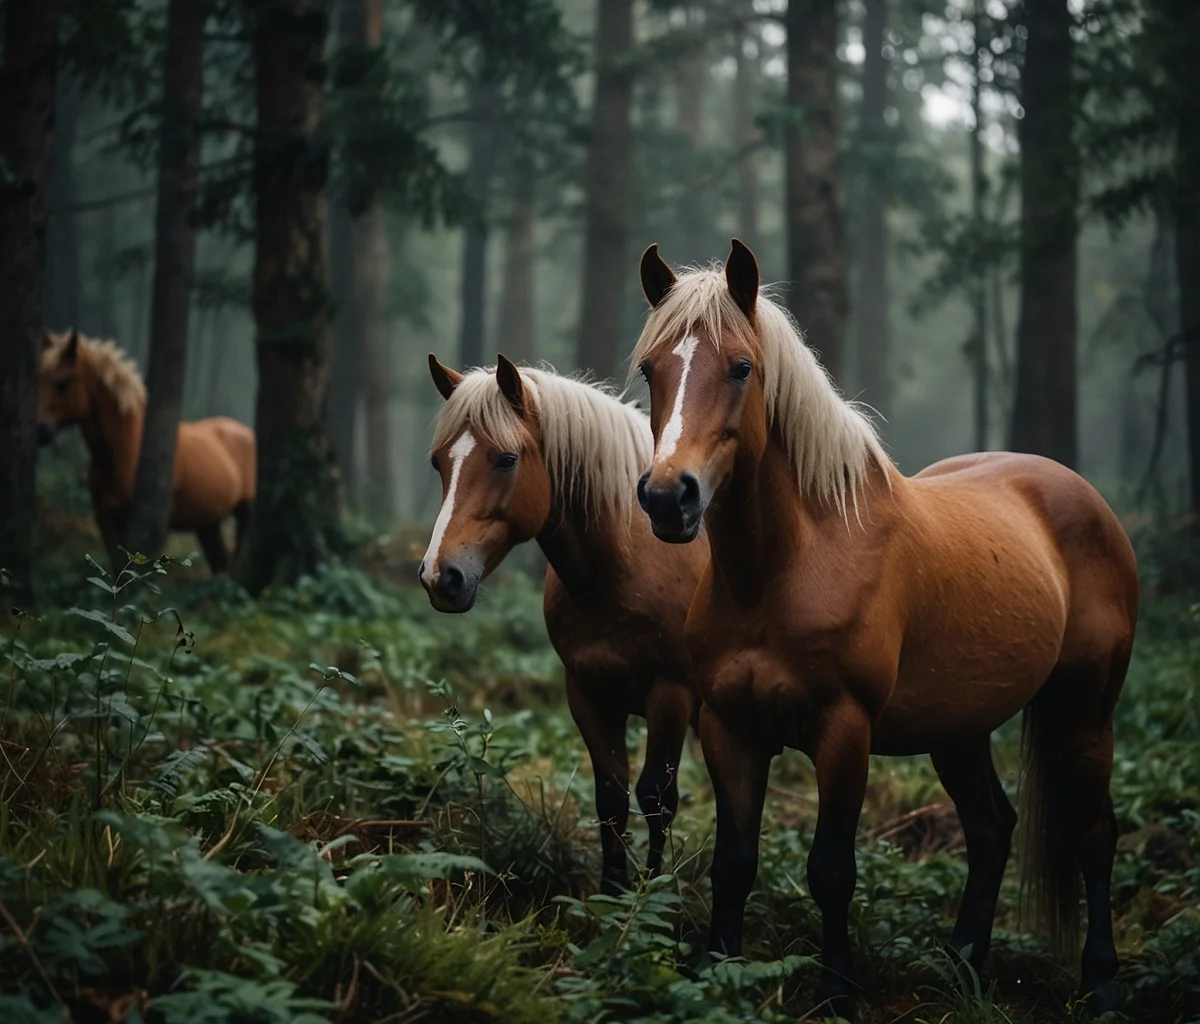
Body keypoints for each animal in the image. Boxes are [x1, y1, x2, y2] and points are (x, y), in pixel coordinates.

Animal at [36, 326, 255, 571]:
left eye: (63, 382)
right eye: (38, 377)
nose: (40, 430)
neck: (125, 449)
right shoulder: (104, 518)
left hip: (245, 515)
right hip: (209, 523)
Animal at [417, 352, 705, 893]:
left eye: (506, 459)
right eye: (439, 462)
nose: (439, 577)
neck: (629, 565)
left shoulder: (671, 697)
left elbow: (656, 798)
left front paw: (648, 894)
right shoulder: (588, 692)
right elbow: (611, 798)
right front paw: (611, 893)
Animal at [633, 240, 1137, 1013]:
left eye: (742, 367)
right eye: (651, 369)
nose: (668, 498)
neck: (785, 568)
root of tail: (1083, 498)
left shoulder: (845, 730)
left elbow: (831, 869)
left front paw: (837, 990)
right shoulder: (728, 726)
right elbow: (734, 861)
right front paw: (719, 970)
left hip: (1085, 711)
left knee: (1093, 833)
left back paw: (1102, 980)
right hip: (959, 727)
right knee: (991, 829)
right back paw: (961, 965)